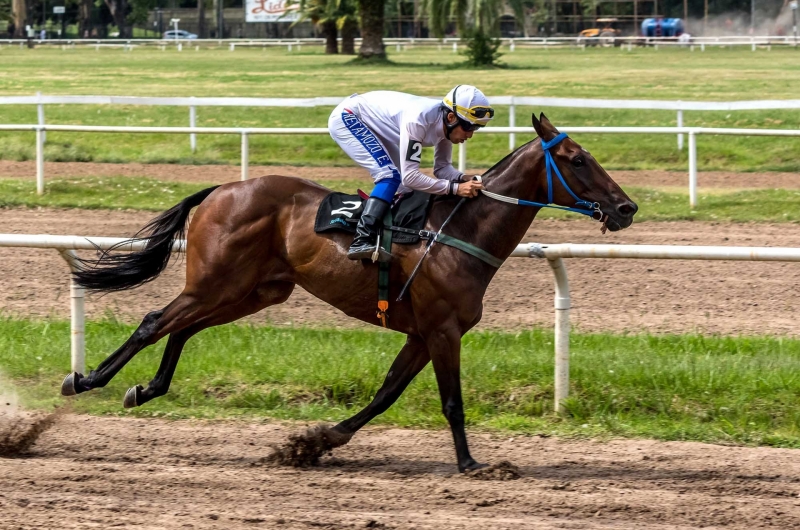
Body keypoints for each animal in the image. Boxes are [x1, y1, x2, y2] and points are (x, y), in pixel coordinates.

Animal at [61, 113, 636, 468]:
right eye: (578, 159)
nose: (627, 207)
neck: (458, 231)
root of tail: (223, 188)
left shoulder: (422, 334)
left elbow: (385, 394)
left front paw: (318, 441)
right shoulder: (443, 330)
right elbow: (451, 402)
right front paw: (472, 463)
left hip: (251, 291)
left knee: (181, 329)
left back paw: (145, 388)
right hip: (216, 282)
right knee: (155, 322)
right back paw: (85, 380)